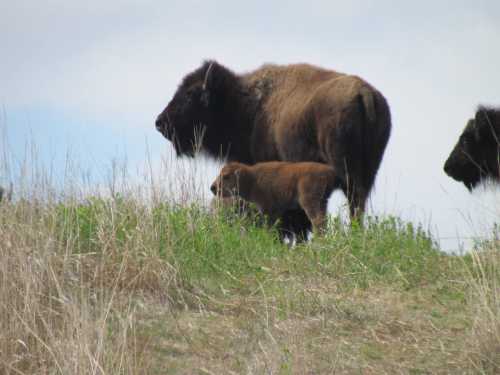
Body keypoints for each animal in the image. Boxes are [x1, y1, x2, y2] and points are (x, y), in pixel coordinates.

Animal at [209, 162, 342, 235]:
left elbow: (268, 227)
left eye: (226, 176)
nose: (213, 187)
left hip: (309, 202)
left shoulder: (267, 210)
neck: (252, 179)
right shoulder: (276, 211)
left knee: (318, 221)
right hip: (323, 202)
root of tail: (329, 171)